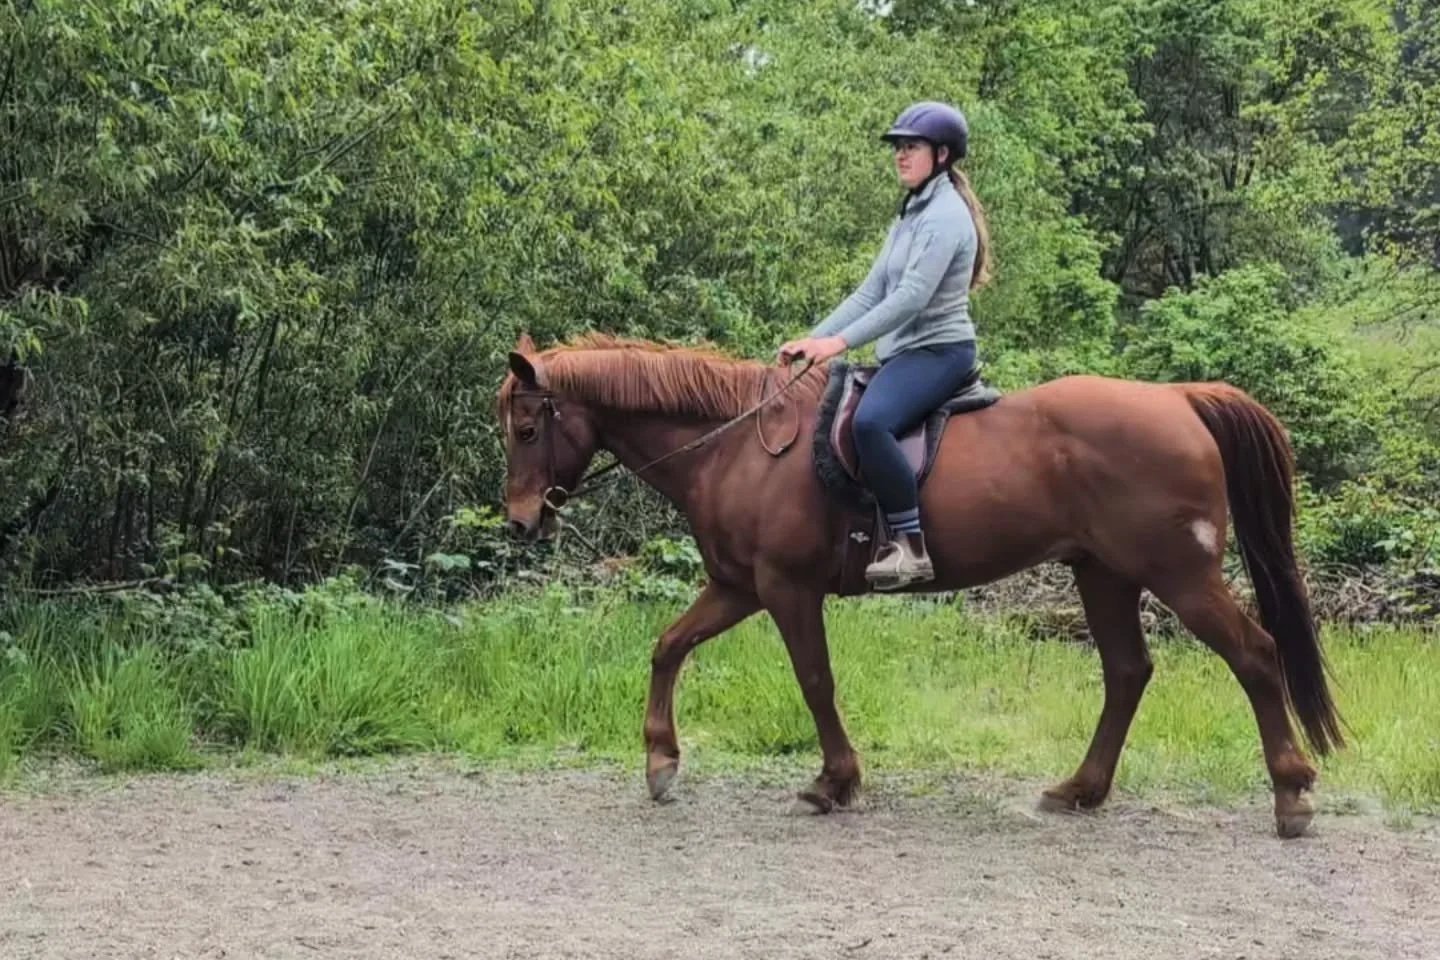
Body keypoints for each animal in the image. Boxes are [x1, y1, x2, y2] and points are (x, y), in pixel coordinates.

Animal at [496, 332, 1344, 839]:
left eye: (528, 429)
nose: (519, 521)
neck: (738, 447)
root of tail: (1178, 398)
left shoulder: (785, 588)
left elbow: (815, 680)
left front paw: (834, 782)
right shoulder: (738, 586)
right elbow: (669, 646)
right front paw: (660, 763)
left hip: (1179, 574)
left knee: (1255, 656)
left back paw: (1292, 793)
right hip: (1103, 574)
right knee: (1128, 672)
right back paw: (1079, 790)